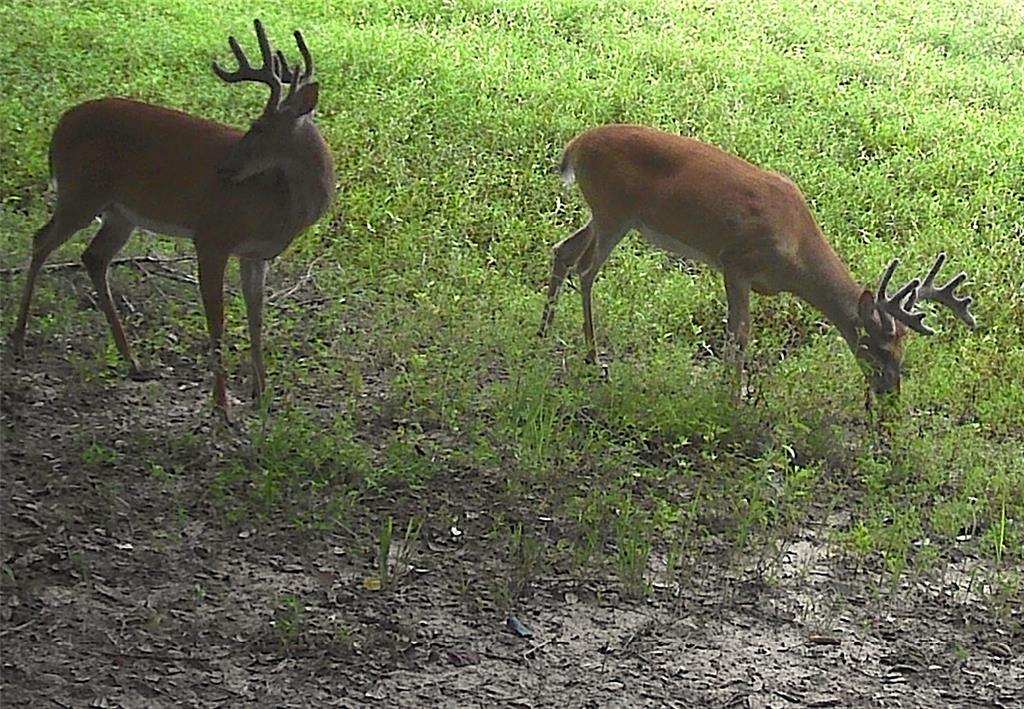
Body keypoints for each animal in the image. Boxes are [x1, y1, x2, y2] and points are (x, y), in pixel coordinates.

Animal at [9, 19, 335, 418]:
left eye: (258, 127)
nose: (224, 169)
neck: (278, 201)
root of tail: (60, 125)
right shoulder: (211, 236)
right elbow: (217, 319)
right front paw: (222, 404)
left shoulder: (255, 254)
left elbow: (256, 317)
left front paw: (262, 393)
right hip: (80, 193)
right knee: (41, 240)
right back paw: (19, 340)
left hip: (119, 213)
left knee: (93, 256)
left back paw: (132, 360)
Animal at [536, 123, 974, 399]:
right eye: (876, 348)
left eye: (902, 350)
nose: (889, 393)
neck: (796, 252)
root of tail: (575, 147)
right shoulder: (735, 261)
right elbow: (740, 330)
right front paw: (733, 394)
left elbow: (736, 330)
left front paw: (728, 387)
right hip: (615, 211)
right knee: (586, 269)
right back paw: (593, 356)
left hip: (604, 214)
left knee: (563, 251)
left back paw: (543, 333)